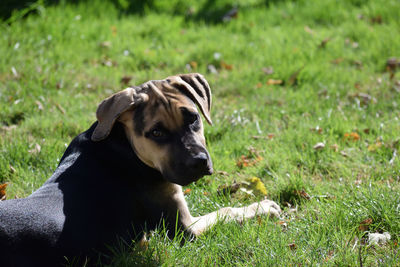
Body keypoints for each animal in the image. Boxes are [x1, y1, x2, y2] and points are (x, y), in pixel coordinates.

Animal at [0, 73, 282, 266]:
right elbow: (225, 211)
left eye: (193, 118)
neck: (123, 146)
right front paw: (263, 207)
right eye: (156, 133)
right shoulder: (184, 229)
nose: (199, 162)